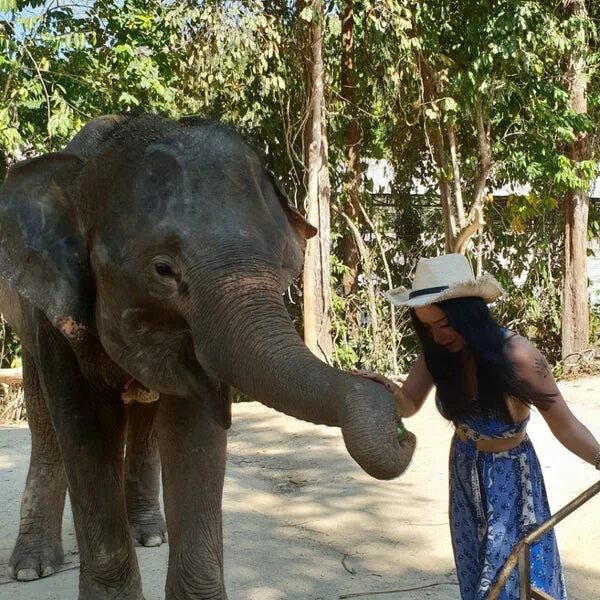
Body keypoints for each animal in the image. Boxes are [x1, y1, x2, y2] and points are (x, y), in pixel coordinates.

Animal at [0, 113, 418, 600]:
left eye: (283, 262)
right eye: (162, 269)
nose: (403, 434)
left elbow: (193, 433)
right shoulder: (55, 318)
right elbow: (84, 428)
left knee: (143, 422)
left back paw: (149, 534)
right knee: (44, 420)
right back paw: (32, 567)